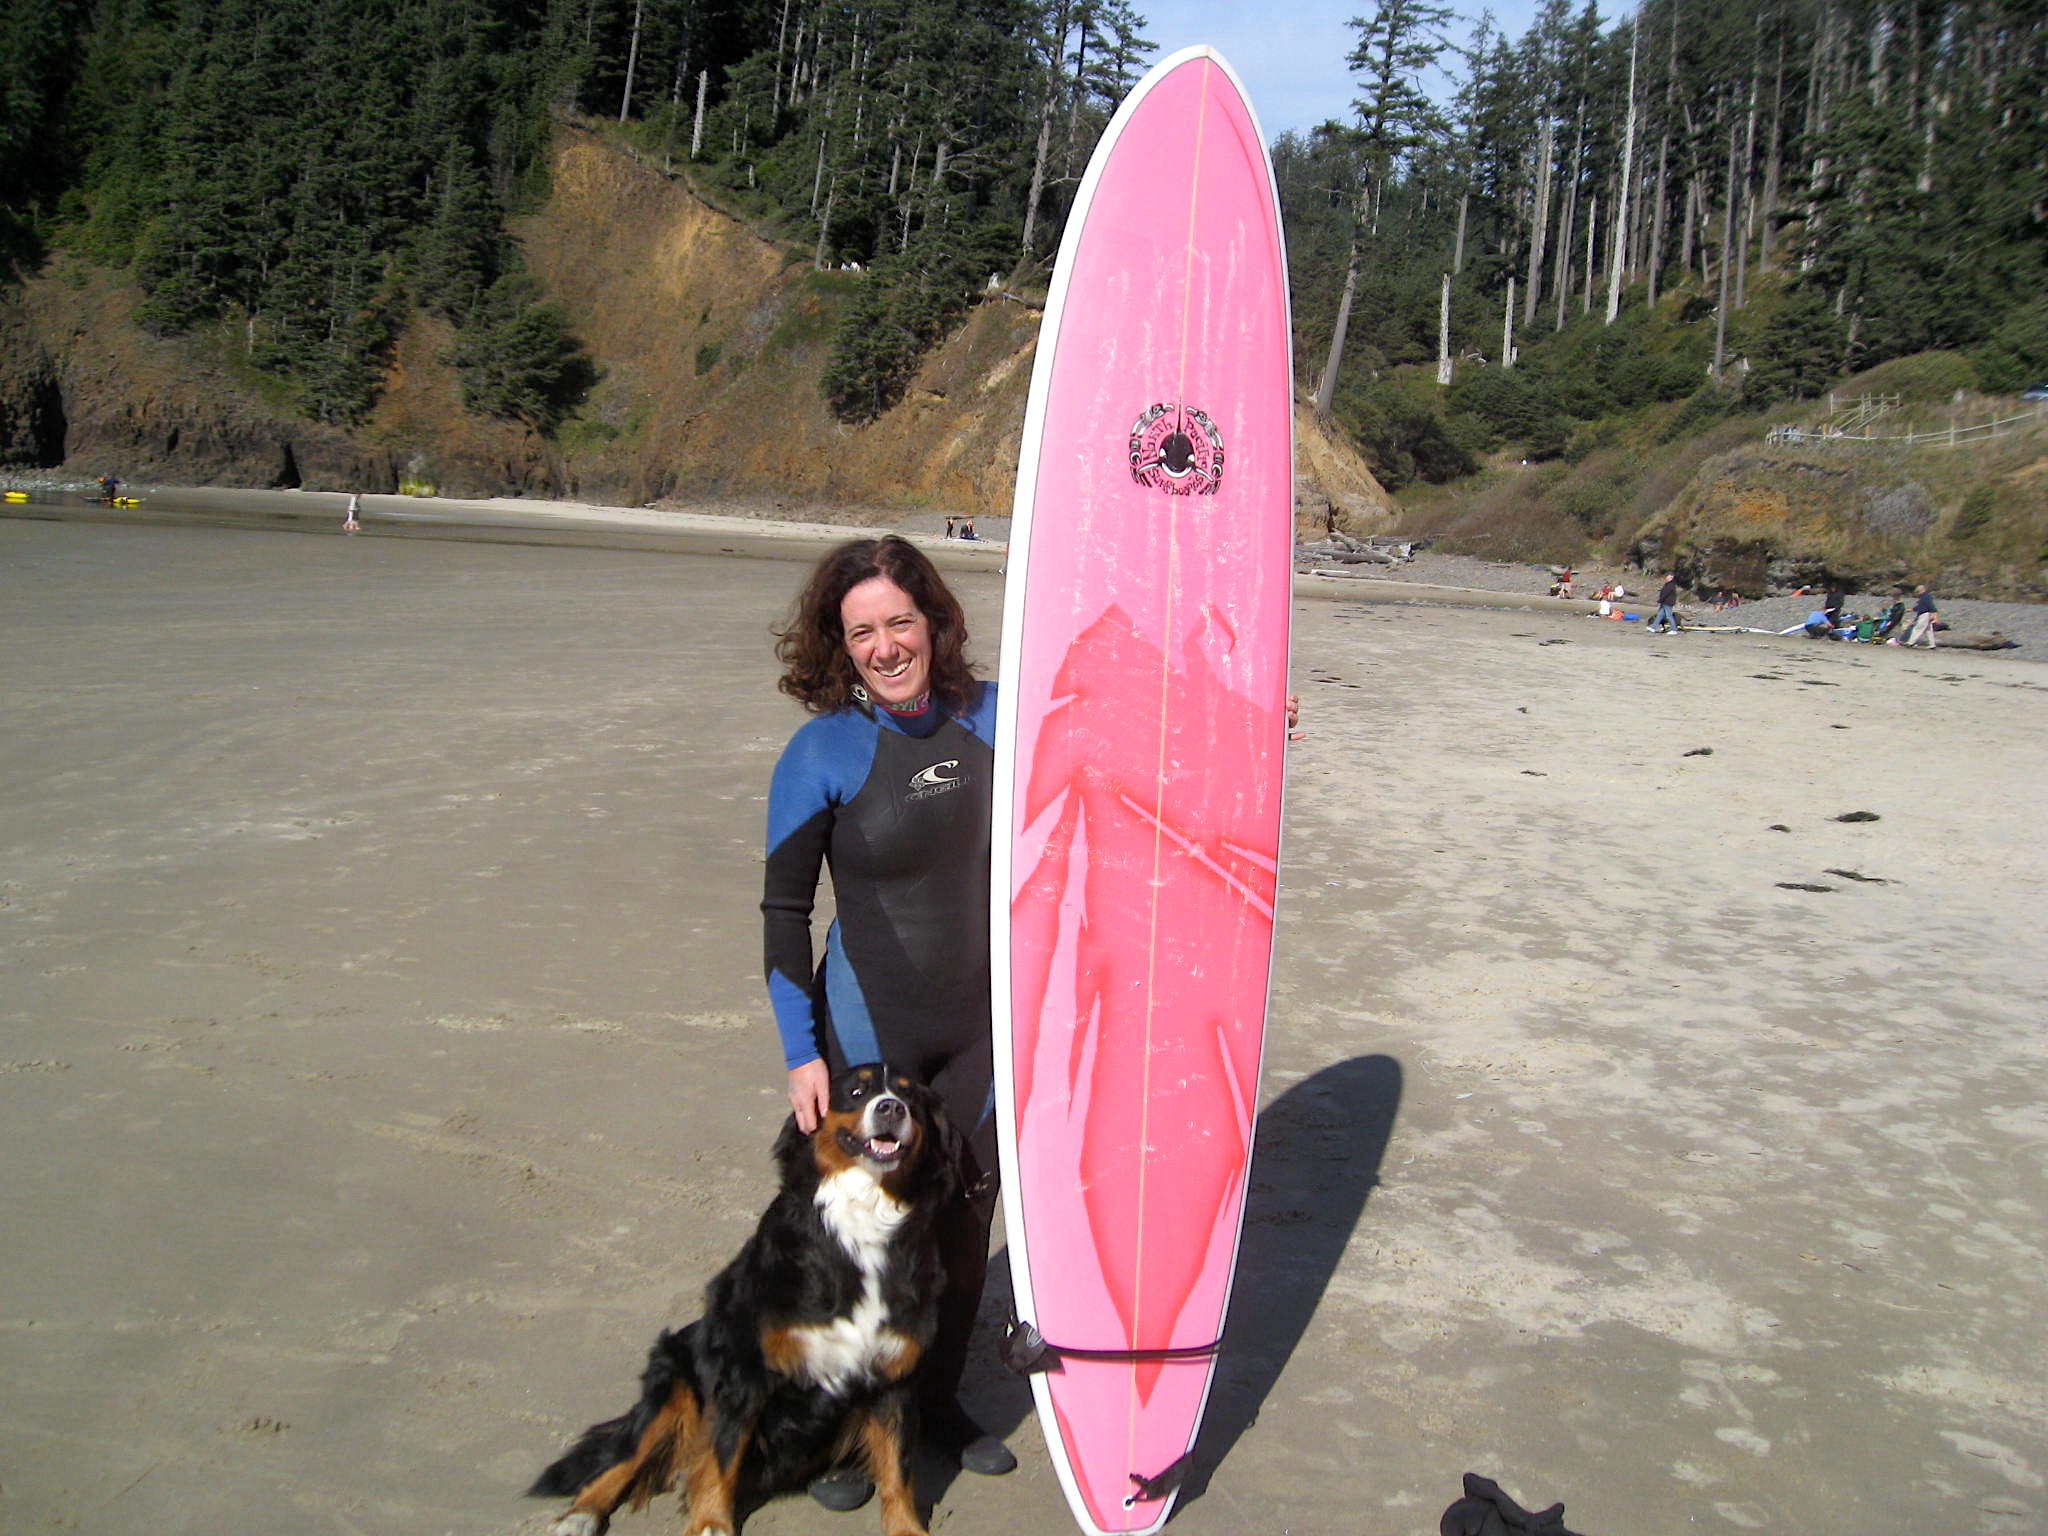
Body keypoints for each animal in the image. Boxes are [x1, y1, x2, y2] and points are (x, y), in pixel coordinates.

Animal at [520, 1064, 950, 1536]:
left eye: (910, 1099)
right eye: (857, 1091)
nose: (891, 1108)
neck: (861, 1224)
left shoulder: (895, 1372)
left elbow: (897, 1465)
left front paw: (906, 1527)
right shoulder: (744, 1366)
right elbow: (723, 1452)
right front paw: (710, 1520)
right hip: (674, 1377)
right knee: (625, 1458)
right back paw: (579, 1515)